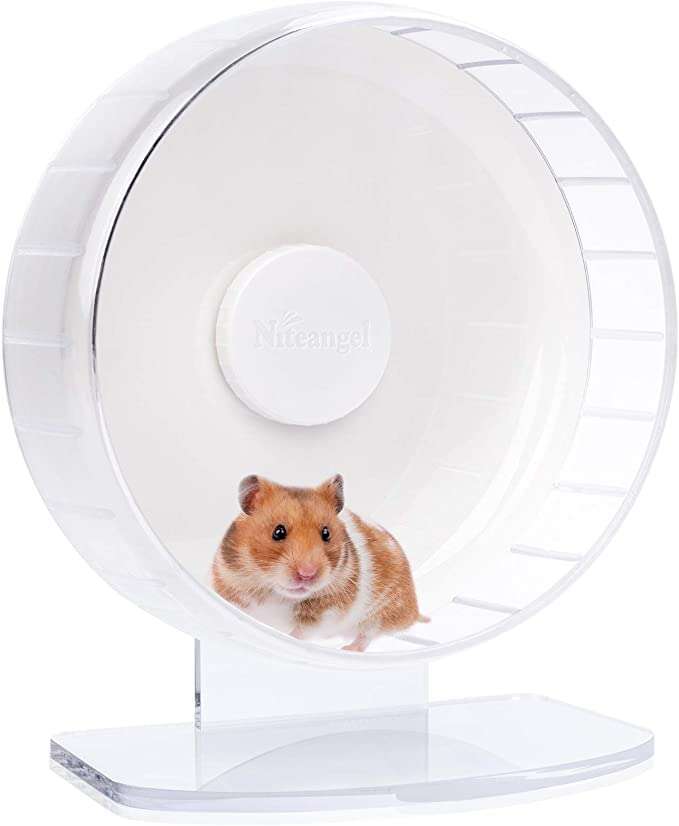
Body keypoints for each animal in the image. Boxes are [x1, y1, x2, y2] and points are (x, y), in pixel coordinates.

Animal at [211, 474, 428, 652]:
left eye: (326, 533)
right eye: (278, 532)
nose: (307, 574)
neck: (276, 594)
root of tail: (414, 610)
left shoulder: (326, 613)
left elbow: (301, 632)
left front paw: (288, 640)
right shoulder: (230, 589)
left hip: (381, 613)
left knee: (366, 636)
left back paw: (348, 649)